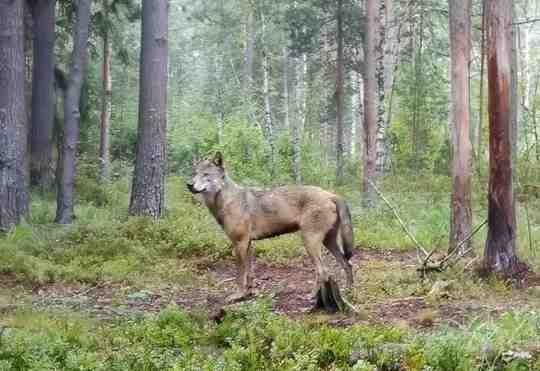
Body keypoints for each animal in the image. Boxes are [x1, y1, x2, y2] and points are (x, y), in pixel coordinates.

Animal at [186, 153, 354, 304]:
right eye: (194, 174)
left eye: (206, 174)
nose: (189, 184)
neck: (228, 201)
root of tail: (331, 195)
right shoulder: (247, 244)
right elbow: (249, 274)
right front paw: (249, 293)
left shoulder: (239, 243)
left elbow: (240, 275)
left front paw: (237, 296)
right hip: (328, 242)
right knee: (347, 264)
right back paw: (349, 292)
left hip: (310, 242)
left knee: (323, 271)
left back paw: (312, 296)